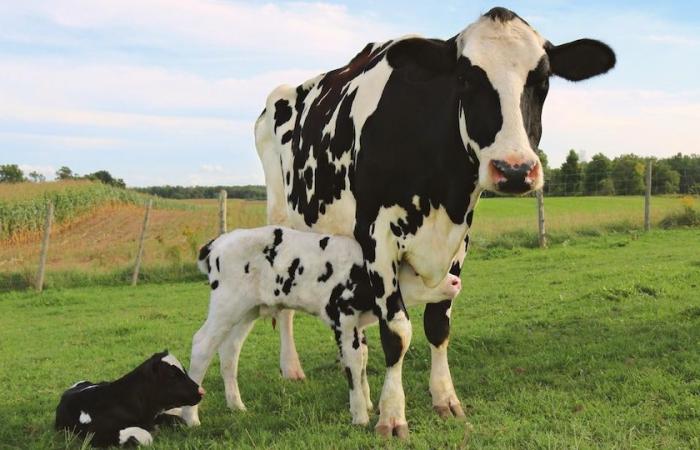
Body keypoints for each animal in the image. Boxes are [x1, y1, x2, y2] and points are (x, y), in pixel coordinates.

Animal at [180, 225, 460, 428]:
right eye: (417, 272)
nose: (455, 281)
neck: (363, 271)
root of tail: (218, 242)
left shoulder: (358, 324)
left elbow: (363, 359)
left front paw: (368, 403)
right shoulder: (343, 320)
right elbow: (353, 362)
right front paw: (360, 416)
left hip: (248, 310)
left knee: (230, 349)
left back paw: (236, 406)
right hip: (226, 303)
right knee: (202, 344)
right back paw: (191, 418)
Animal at [254, 6, 616, 436]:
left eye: (542, 80)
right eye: (464, 78)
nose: (514, 170)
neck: (443, 190)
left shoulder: (459, 240)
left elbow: (438, 324)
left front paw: (445, 398)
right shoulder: (376, 238)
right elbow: (397, 332)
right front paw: (392, 414)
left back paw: (356, 380)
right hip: (283, 222)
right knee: (286, 306)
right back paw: (292, 368)